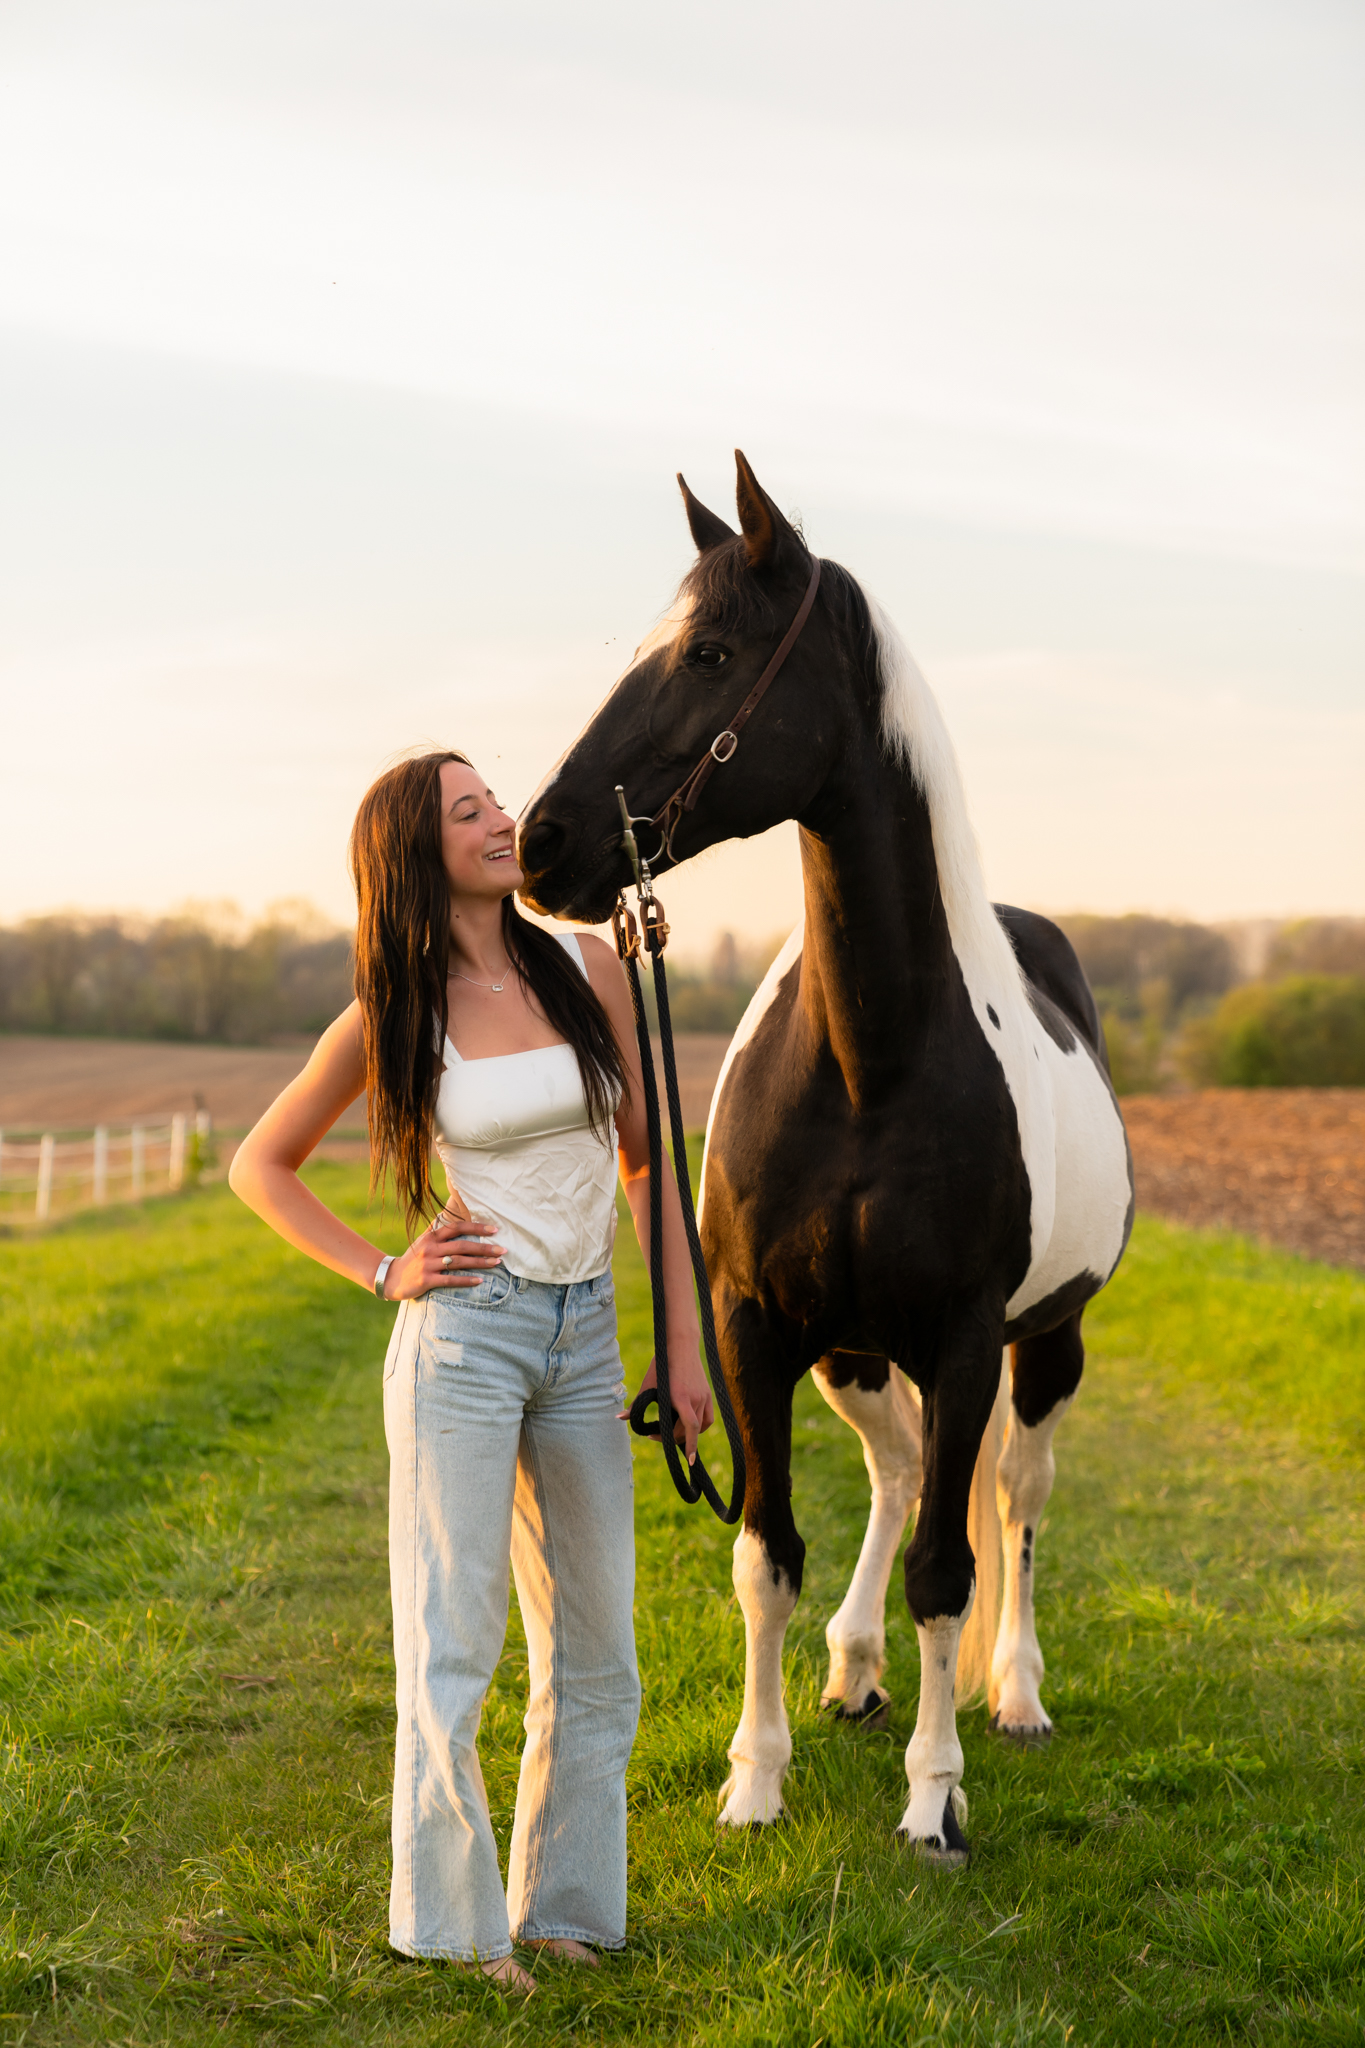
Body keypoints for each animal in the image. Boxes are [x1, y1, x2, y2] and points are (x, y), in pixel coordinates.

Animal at [517, 452, 1134, 1864]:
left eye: (710, 651)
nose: (544, 842)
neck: (868, 1062)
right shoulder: (755, 1330)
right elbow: (768, 1552)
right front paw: (755, 1778)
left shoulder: (963, 1343)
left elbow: (950, 1569)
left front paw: (934, 1796)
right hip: (852, 1352)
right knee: (898, 1468)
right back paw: (854, 1667)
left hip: (1044, 1346)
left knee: (1013, 1496)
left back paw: (1014, 1694)